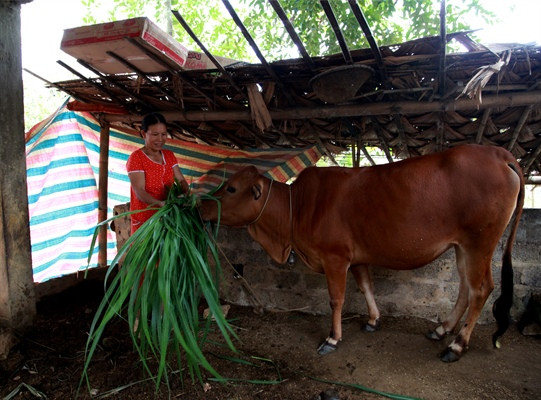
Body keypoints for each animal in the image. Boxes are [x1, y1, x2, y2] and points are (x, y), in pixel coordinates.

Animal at [198, 145, 524, 362]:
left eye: (231, 188)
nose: (200, 205)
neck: (296, 208)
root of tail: (499, 154)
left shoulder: (335, 258)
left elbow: (336, 299)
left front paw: (333, 338)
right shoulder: (357, 258)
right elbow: (366, 286)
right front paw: (373, 321)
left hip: (479, 242)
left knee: (481, 289)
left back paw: (456, 346)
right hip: (461, 247)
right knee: (465, 288)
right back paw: (442, 329)